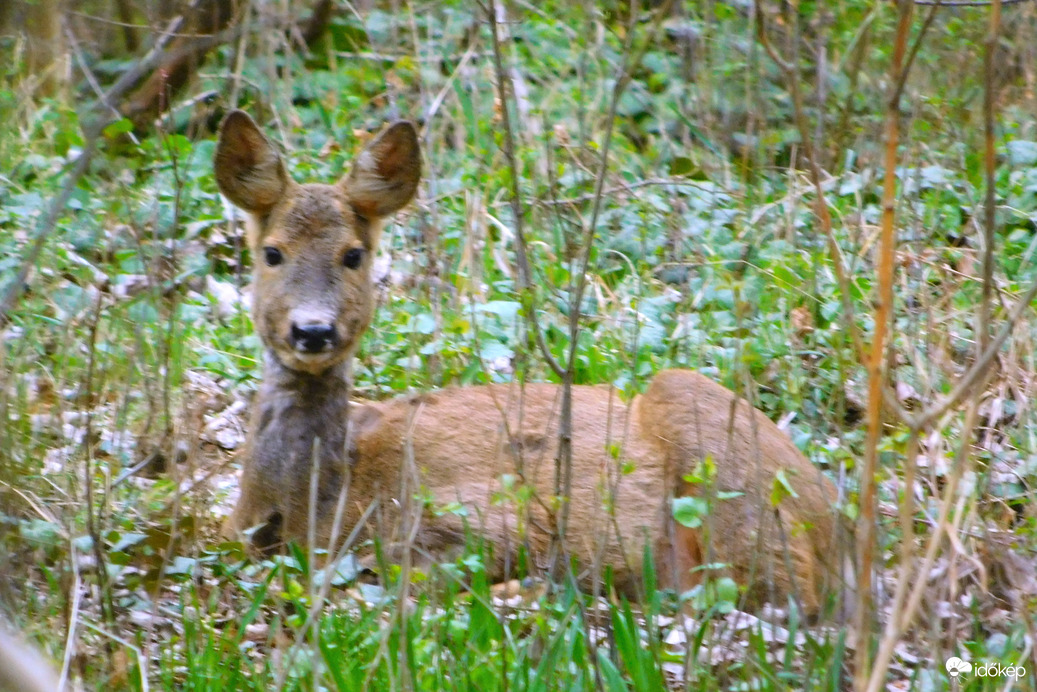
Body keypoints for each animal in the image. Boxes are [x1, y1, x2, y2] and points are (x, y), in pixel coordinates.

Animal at [214, 110, 849, 618]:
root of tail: (839, 526)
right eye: (271, 252)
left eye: (354, 255)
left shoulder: (482, 517)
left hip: (709, 435)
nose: (313, 330)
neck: (314, 511)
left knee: (771, 593)